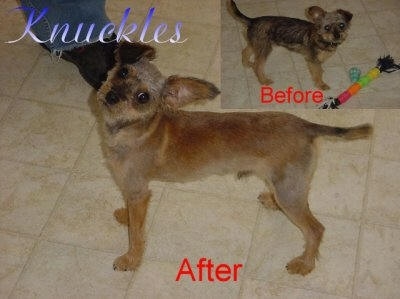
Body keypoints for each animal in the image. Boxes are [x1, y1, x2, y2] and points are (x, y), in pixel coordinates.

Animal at [97, 42, 372, 276]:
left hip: (290, 193)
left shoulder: (138, 191)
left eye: (142, 97)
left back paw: (304, 263)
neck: (133, 128)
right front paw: (125, 216)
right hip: (284, 184)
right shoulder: (130, 189)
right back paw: (272, 202)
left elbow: (136, 233)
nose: (112, 96)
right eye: (122, 71)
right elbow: (131, 217)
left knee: (315, 229)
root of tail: (305, 125)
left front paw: (131, 259)